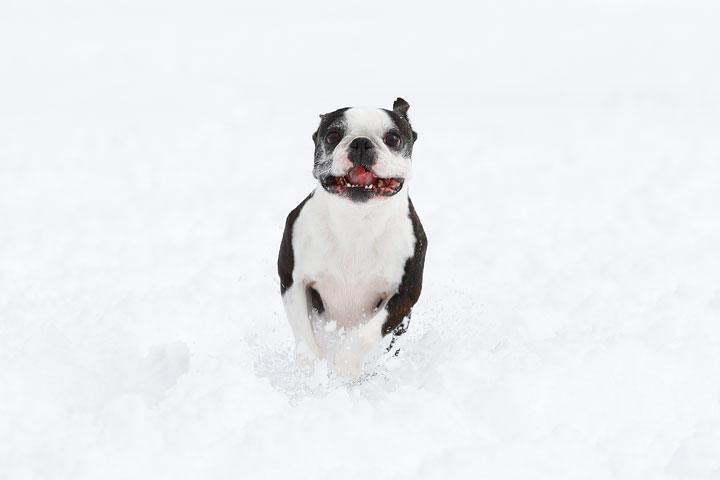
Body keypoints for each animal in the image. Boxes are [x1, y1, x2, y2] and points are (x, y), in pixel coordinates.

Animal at [278, 96, 428, 376]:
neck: (357, 220)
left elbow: (366, 334)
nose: (361, 142)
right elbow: (304, 332)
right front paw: (311, 369)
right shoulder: (292, 281)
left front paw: (345, 368)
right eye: (332, 136)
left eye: (393, 139)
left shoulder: (404, 295)